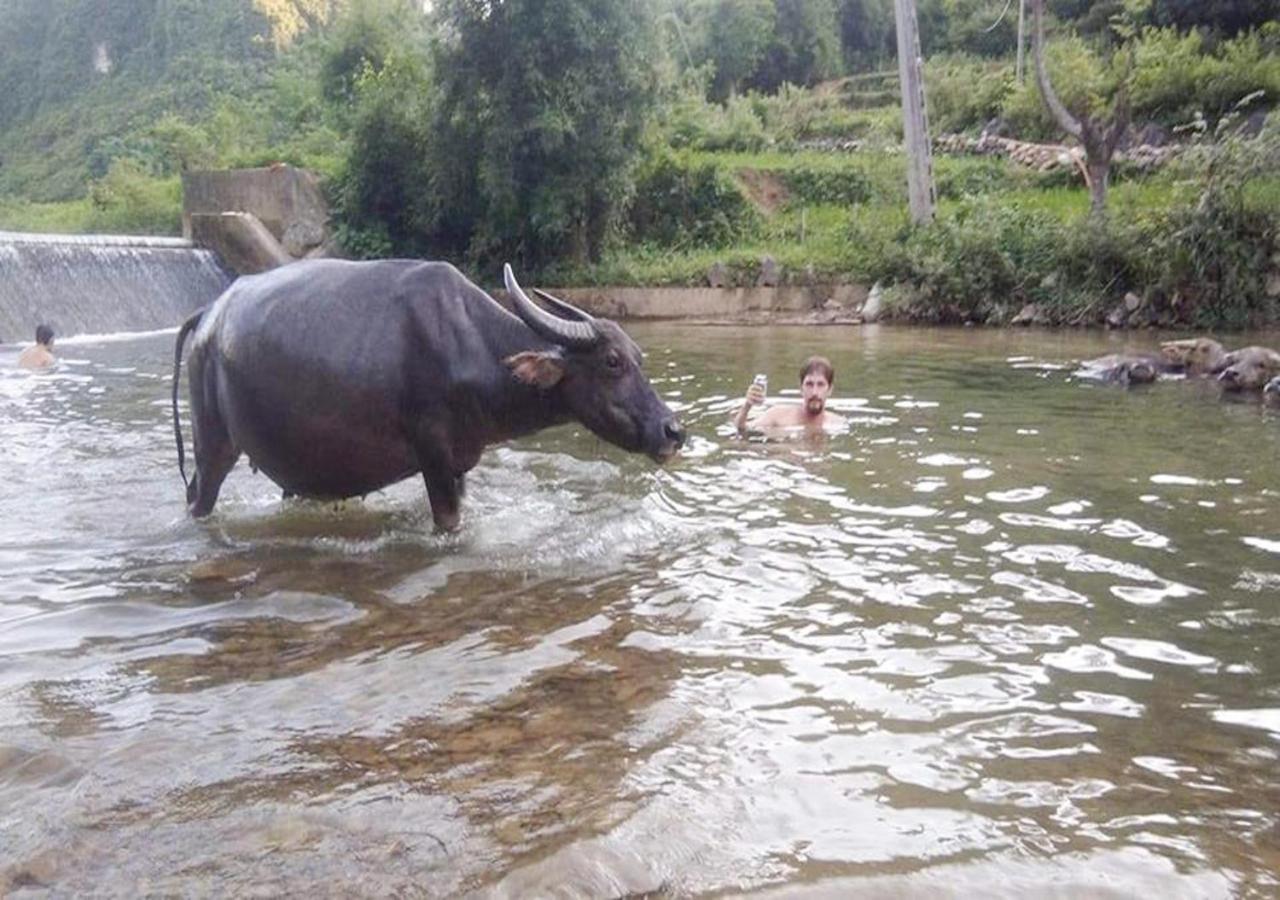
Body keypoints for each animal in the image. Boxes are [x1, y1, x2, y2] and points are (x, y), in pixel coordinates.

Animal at [177, 258, 691, 527]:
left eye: (639, 358)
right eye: (612, 361)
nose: (673, 430)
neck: (473, 347)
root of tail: (207, 316)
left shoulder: (460, 464)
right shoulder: (436, 461)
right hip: (212, 445)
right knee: (198, 496)